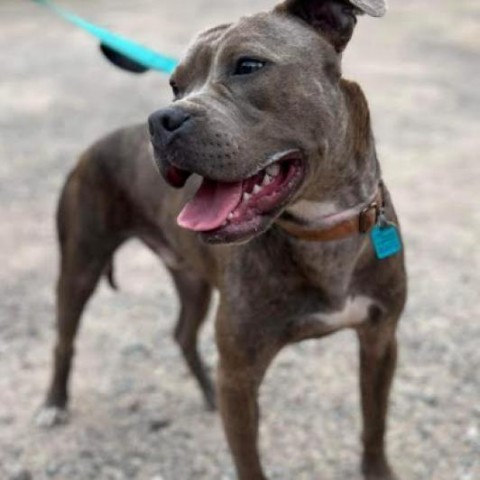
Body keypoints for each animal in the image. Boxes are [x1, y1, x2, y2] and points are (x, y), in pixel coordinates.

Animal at [40, 0, 404, 480]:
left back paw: (206, 391)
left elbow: (374, 425)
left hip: (191, 279)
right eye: (175, 86)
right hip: (80, 266)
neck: (322, 228)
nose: (161, 120)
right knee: (64, 338)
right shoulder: (240, 376)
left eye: (248, 65)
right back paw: (54, 403)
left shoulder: (380, 341)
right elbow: (249, 463)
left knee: (182, 333)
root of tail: (96, 144)